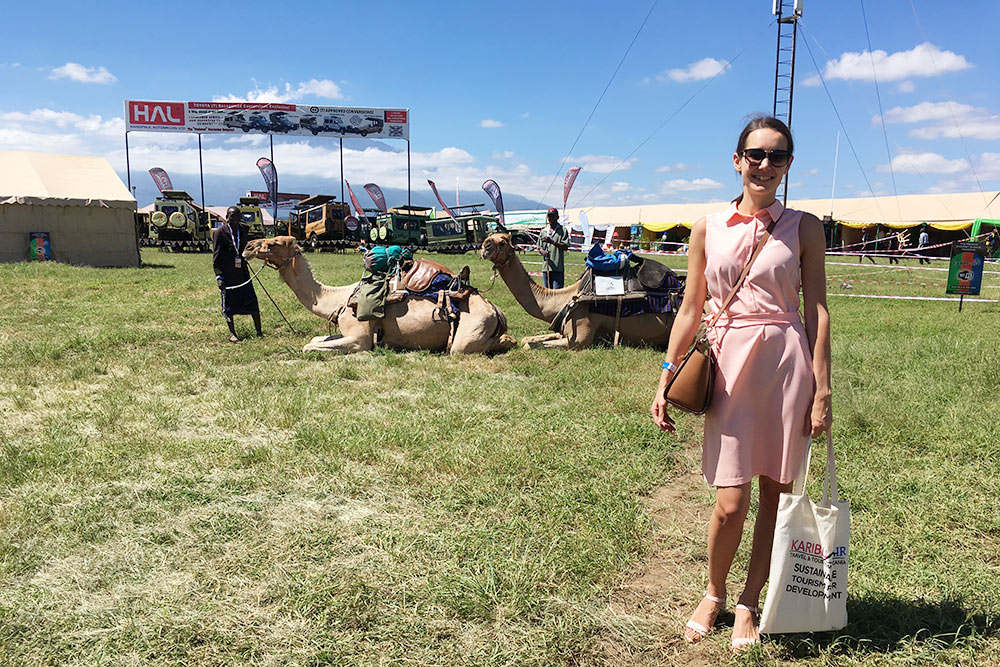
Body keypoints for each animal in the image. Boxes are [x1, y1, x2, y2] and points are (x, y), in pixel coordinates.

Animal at [244, 237, 516, 358]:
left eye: (275, 242)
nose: (247, 246)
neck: (339, 298)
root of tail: (495, 310)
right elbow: (314, 339)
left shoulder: (359, 338)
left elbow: (309, 346)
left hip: (469, 334)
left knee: (472, 346)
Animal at [478, 234, 680, 352]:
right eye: (488, 237)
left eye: (502, 243)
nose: (484, 247)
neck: (564, 298)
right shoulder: (563, 330)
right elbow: (527, 340)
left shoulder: (580, 339)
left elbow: (528, 345)